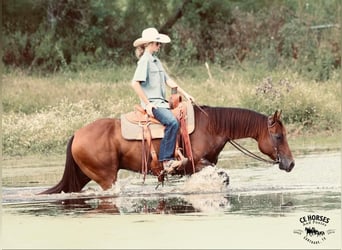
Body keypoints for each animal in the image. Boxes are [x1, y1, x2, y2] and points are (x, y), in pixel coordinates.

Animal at [40, 104, 294, 194]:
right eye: (278, 136)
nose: (290, 163)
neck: (211, 126)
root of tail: (77, 134)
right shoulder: (197, 163)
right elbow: (223, 177)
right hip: (105, 177)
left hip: (84, 175)